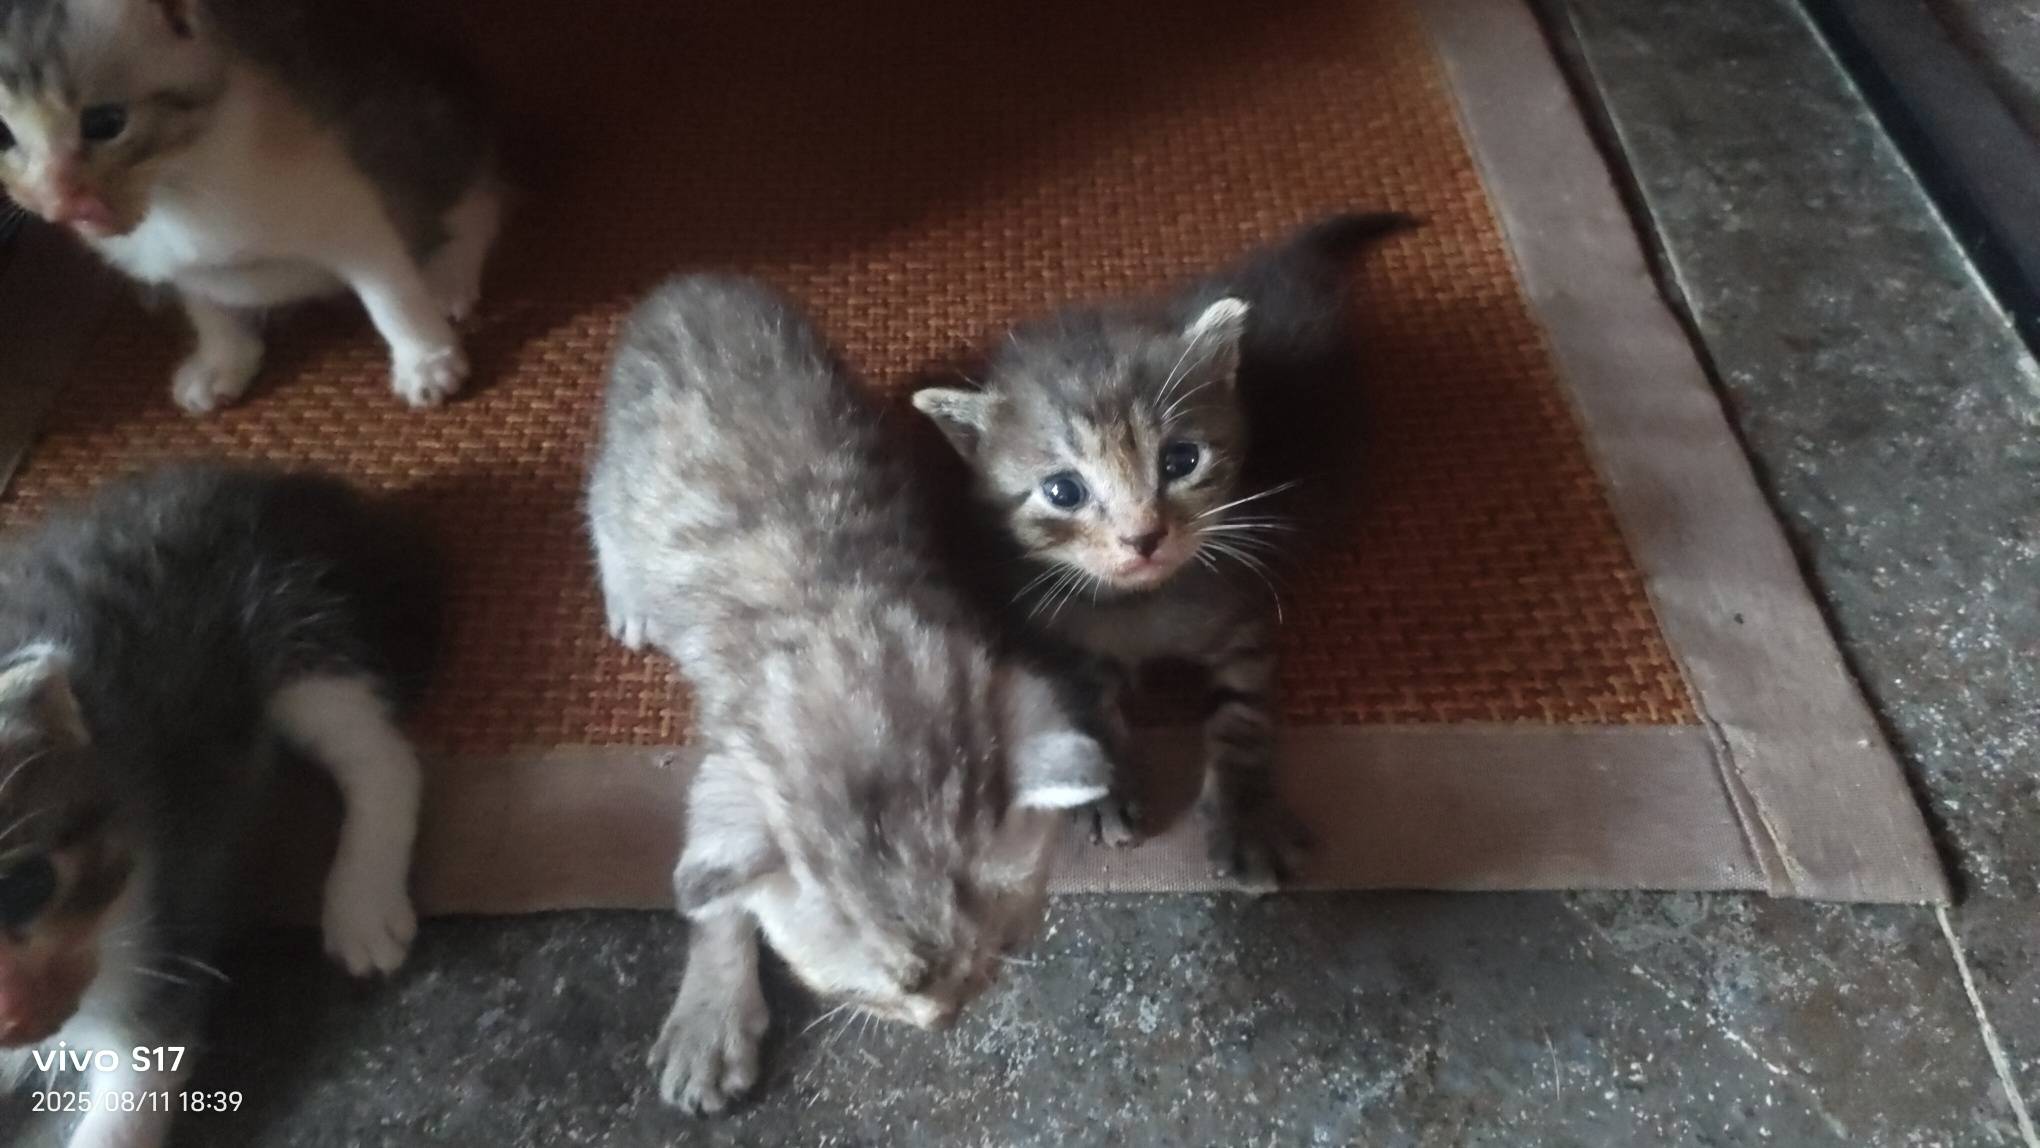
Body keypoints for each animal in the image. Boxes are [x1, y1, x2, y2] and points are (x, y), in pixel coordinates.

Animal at [0, 0, 501, 412]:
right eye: (4, 136)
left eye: (105, 123)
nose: (59, 199)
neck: (173, 190)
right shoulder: (183, 263)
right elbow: (205, 303)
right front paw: (223, 360)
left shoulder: (349, 208)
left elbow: (391, 293)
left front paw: (425, 360)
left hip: (419, 134)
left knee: (478, 197)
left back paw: (447, 276)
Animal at [0, 464, 437, 1148]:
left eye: (26, 885)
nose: (14, 1022)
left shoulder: (157, 932)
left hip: (281, 616)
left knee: (379, 753)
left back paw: (363, 905)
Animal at [586, 275, 1114, 1116]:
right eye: (879, 993)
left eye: (991, 951)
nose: (945, 1019)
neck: (846, 626)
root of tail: (690, 285)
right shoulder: (732, 759)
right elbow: (713, 895)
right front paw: (711, 1013)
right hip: (623, 469)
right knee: (603, 510)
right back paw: (632, 598)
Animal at [912, 212, 1413, 888]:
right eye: (1063, 491)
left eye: (1180, 461)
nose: (1144, 536)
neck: (1143, 609)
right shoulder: (1060, 631)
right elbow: (1087, 706)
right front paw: (1103, 788)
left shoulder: (1242, 616)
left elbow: (1242, 715)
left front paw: (1247, 816)